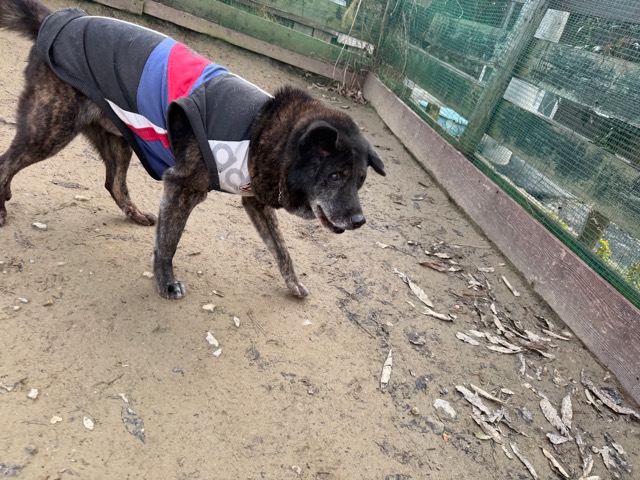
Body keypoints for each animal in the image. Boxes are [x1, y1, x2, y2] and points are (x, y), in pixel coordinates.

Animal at [0, 0, 385, 299]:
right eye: (335, 176)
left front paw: (294, 284)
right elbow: (168, 242)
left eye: (361, 181)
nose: (359, 221)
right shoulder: (182, 186)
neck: (266, 128)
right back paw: (1, 207)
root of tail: (56, 19)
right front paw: (165, 283)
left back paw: (135, 214)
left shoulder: (255, 201)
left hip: (118, 137)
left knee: (114, 183)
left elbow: (281, 249)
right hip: (50, 130)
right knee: (7, 162)